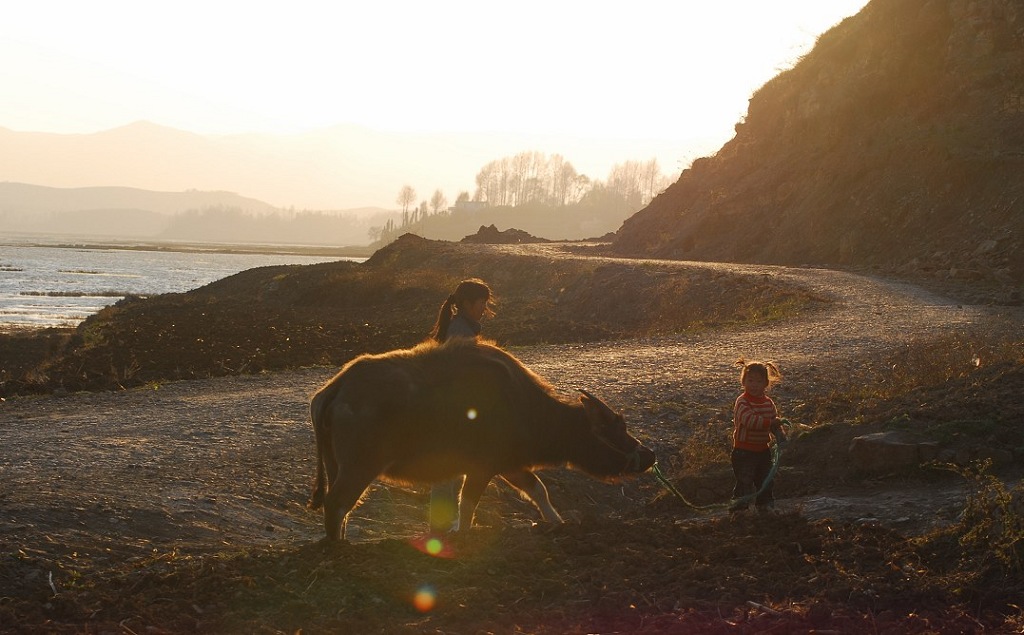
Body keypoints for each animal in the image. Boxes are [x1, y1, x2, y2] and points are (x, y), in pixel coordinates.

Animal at [305, 337, 655, 540]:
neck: (522, 404)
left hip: (336, 465)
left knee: (339, 507)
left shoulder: (509, 464)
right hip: (359, 467)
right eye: (616, 426)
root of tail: (337, 386)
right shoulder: (482, 468)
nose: (650, 455)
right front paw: (462, 534)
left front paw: (556, 521)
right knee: (337, 503)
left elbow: (537, 489)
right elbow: (468, 502)